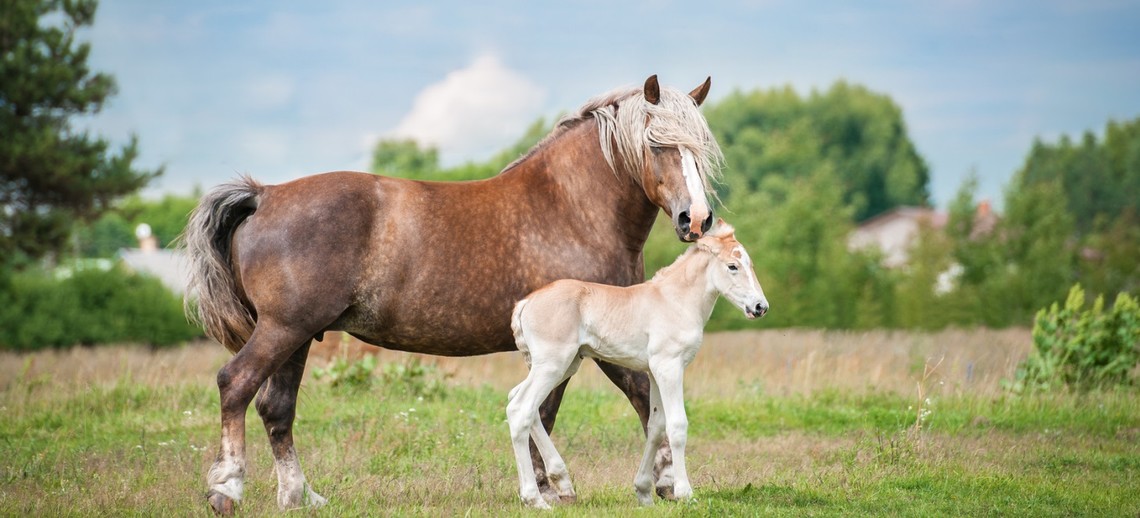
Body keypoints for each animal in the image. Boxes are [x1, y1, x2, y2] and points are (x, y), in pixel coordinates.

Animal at [185, 73, 720, 513]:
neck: (568, 208)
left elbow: (586, 407)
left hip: (297, 338)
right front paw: (606, 484)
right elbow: (607, 403)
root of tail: (265, 196)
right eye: (656, 144)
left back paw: (300, 496)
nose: (695, 219)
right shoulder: (588, 343)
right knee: (236, 384)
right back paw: (227, 489)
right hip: (283, 330)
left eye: (700, 148)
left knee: (276, 409)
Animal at [506, 219, 766, 508]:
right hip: (553, 365)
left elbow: (656, 427)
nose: (760, 307)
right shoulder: (669, 367)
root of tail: (525, 303)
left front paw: (643, 492)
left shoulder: (654, 372)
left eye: (750, 264)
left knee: (519, 401)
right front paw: (685, 493)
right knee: (520, 409)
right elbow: (677, 425)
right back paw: (535, 499)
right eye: (732, 266)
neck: (675, 300)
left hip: (563, 365)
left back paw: (560, 482)